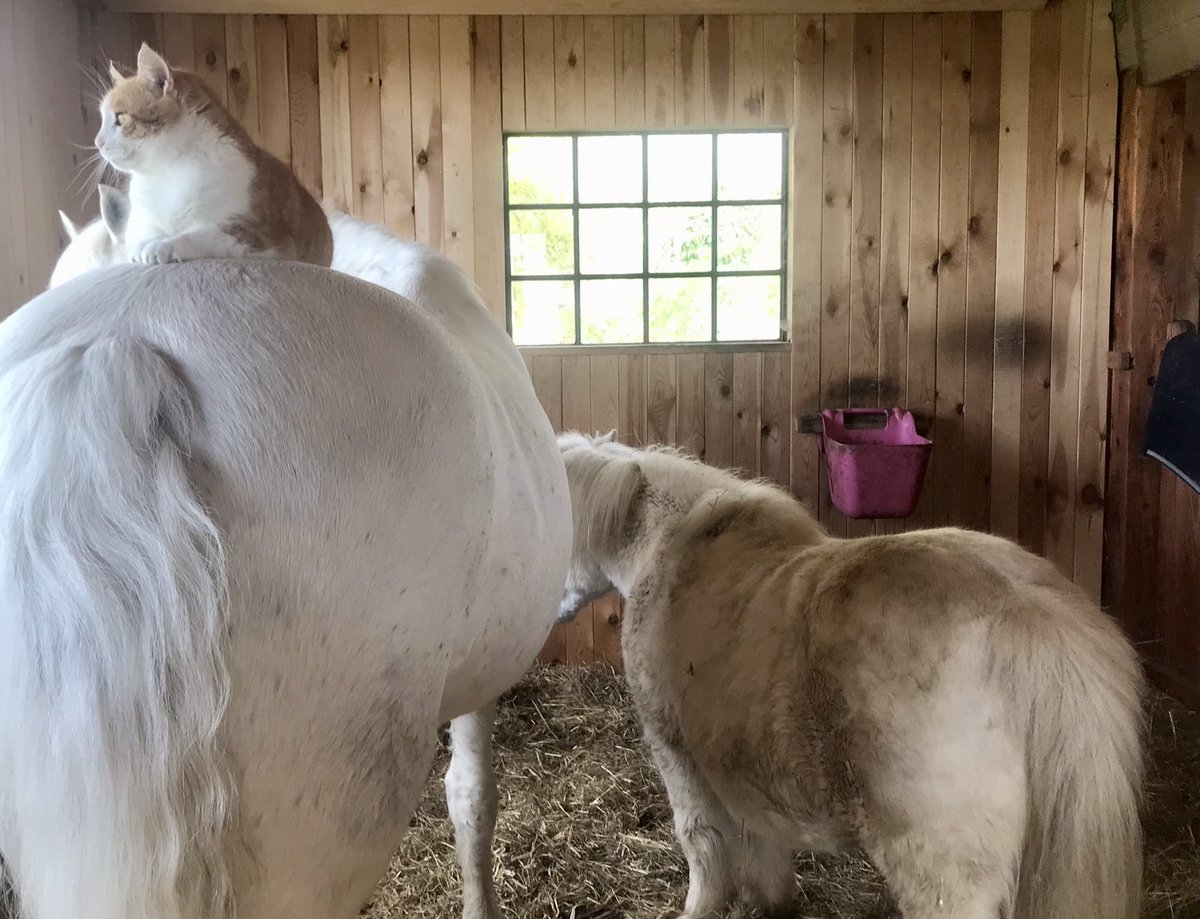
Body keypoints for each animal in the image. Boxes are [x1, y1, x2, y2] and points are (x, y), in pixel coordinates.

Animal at [94, 44, 333, 268]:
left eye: (120, 118)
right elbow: (141, 236)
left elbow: (201, 235)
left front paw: (164, 246)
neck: (167, 171)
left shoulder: (259, 237)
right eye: (103, 119)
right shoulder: (140, 221)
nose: (97, 142)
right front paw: (144, 246)